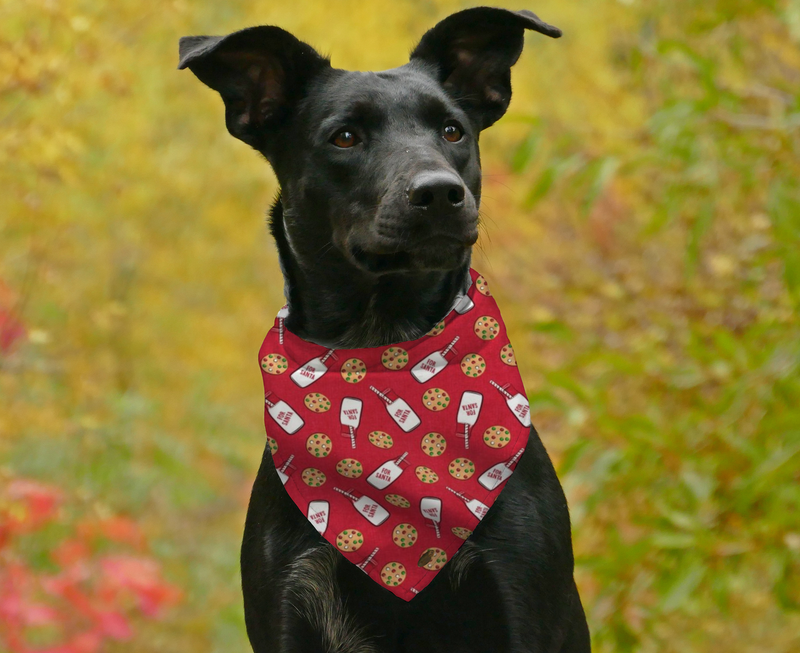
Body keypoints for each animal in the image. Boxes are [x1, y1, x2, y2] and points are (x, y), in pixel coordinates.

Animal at [183, 6, 588, 652]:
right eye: (345, 137)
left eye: (453, 131)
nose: (440, 192)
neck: (383, 347)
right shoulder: (290, 602)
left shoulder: (521, 599)